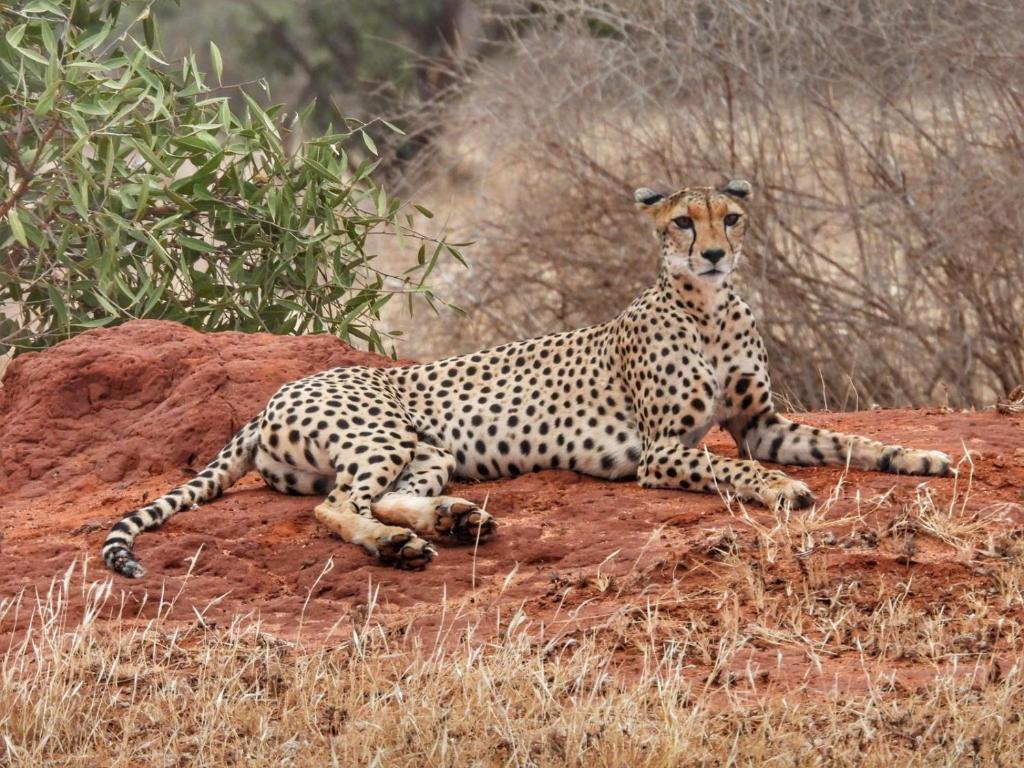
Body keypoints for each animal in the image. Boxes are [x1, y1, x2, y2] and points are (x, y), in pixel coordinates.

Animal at [103, 179, 952, 578]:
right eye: (683, 222)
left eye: (730, 219)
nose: (713, 253)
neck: (708, 306)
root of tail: (273, 395)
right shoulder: (660, 451)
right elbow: (728, 467)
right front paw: (779, 491)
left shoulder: (762, 424)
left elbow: (848, 440)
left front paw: (925, 458)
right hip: (382, 430)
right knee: (338, 507)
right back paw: (399, 546)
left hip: (426, 446)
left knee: (387, 494)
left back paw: (452, 521)